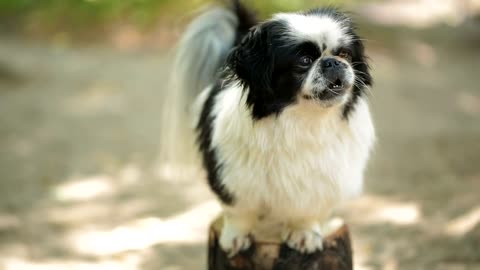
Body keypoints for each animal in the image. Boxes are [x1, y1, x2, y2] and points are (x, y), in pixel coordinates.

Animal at [172, 0, 376, 256]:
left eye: (344, 54)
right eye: (304, 61)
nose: (332, 62)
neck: (305, 121)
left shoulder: (319, 184)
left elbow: (307, 211)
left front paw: (303, 233)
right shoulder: (231, 176)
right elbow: (238, 211)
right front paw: (236, 237)